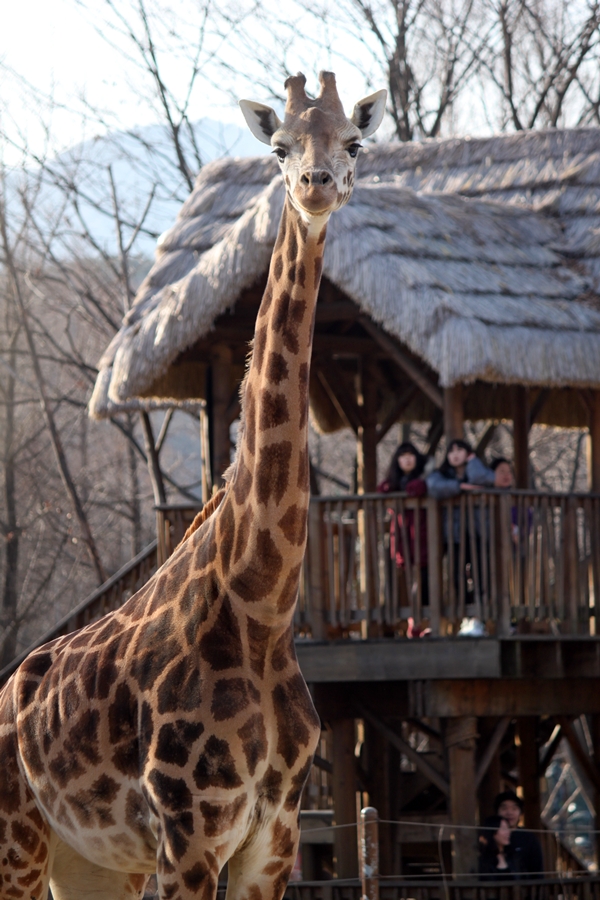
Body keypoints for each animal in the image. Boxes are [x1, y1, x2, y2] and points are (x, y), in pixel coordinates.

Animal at [0, 71, 386, 900]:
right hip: (17, 839)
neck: (261, 609)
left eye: (354, 143)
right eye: (278, 148)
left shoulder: (271, 843)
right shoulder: (189, 838)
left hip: (88, 864)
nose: (315, 186)